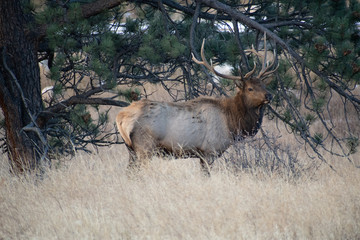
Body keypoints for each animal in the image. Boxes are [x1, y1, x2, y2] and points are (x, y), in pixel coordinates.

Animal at [116, 34, 278, 173]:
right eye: (250, 88)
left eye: (263, 84)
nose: (269, 95)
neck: (231, 122)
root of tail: (120, 117)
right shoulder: (209, 151)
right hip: (145, 147)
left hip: (131, 149)